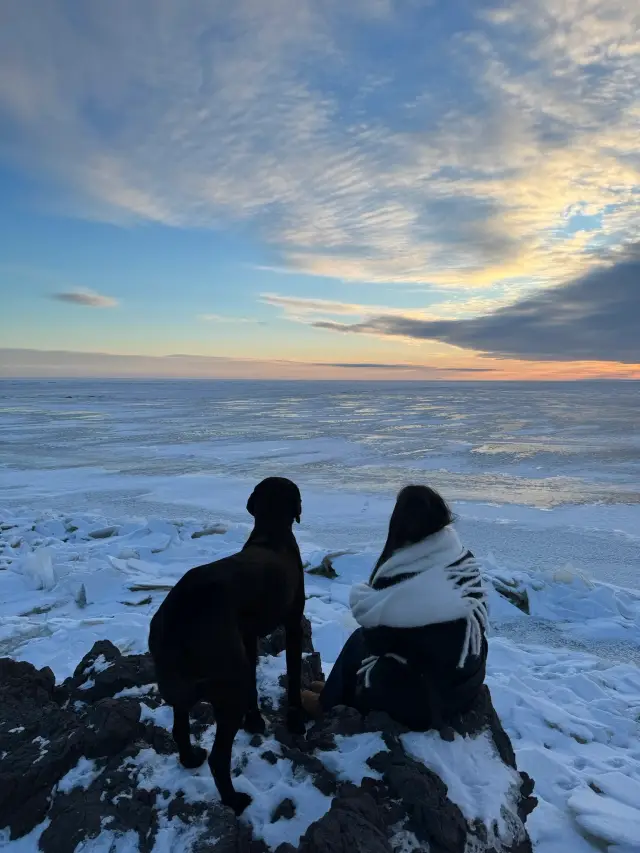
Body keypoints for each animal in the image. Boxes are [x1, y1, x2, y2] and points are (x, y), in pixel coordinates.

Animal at [151, 476, 308, 816]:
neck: (271, 533)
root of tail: (179, 611)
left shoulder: (247, 636)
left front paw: (255, 720)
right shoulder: (293, 624)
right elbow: (293, 674)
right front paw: (295, 720)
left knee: (180, 725)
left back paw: (190, 758)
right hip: (229, 679)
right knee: (218, 757)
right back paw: (234, 801)